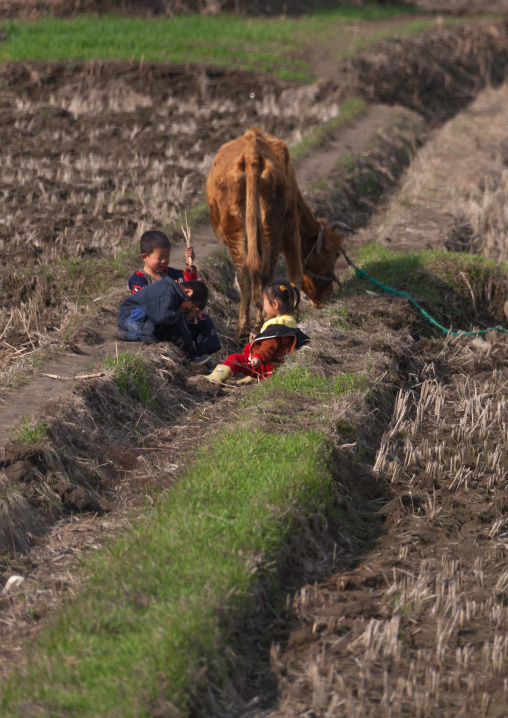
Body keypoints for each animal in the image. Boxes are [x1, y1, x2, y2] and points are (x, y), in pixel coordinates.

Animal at [206, 127, 346, 337]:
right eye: (336, 254)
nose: (327, 297)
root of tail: (252, 152)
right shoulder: (291, 228)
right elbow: (296, 275)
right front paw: (294, 315)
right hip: (274, 226)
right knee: (264, 275)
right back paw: (262, 323)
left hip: (240, 230)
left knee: (248, 275)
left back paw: (245, 329)